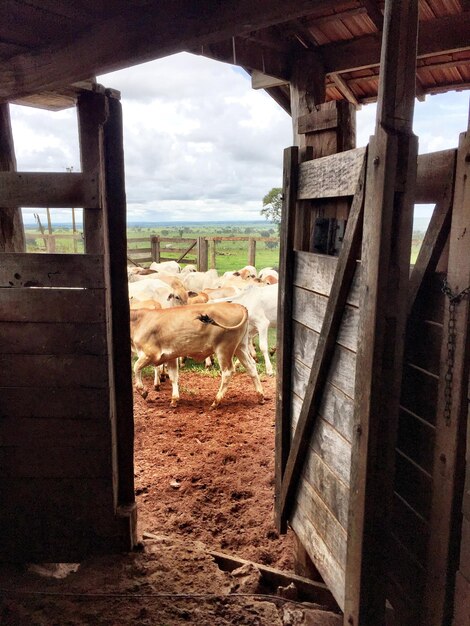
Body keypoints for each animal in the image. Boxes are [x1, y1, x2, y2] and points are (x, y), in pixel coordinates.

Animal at [130, 300, 264, 408]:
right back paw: (261, 396)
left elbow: (136, 367)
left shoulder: (150, 354)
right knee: (251, 367)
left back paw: (216, 401)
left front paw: (143, 391)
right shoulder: (171, 356)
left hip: (224, 349)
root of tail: (238, 306)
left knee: (228, 372)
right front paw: (174, 400)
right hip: (240, 347)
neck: (139, 321)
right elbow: (174, 376)